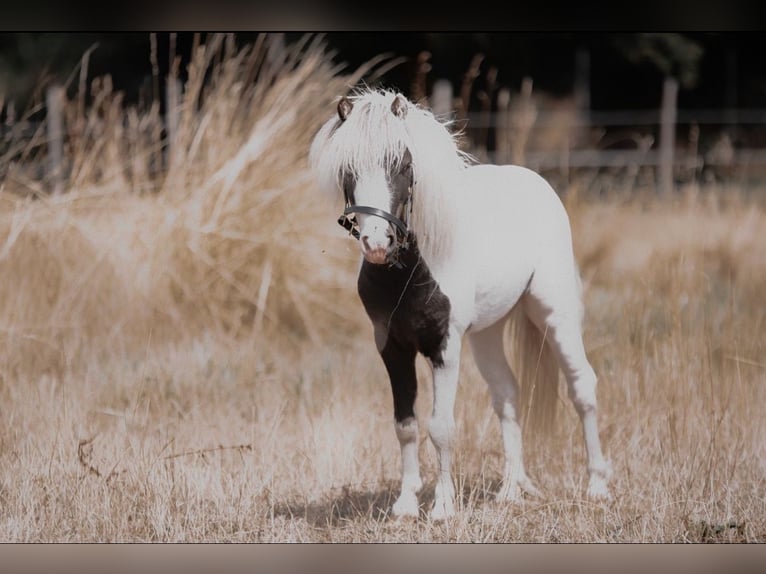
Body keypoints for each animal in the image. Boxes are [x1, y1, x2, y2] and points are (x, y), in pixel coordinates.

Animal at [308, 89, 616, 520]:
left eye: (403, 164)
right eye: (346, 168)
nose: (377, 243)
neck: (410, 270)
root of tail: (537, 183)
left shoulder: (445, 346)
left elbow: (441, 427)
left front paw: (442, 507)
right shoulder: (391, 347)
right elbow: (405, 424)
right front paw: (406, 504)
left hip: (554, 315)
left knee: (582, 387)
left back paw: (597, 486)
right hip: (488, 333)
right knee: (507, 394)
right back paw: (511, 490)